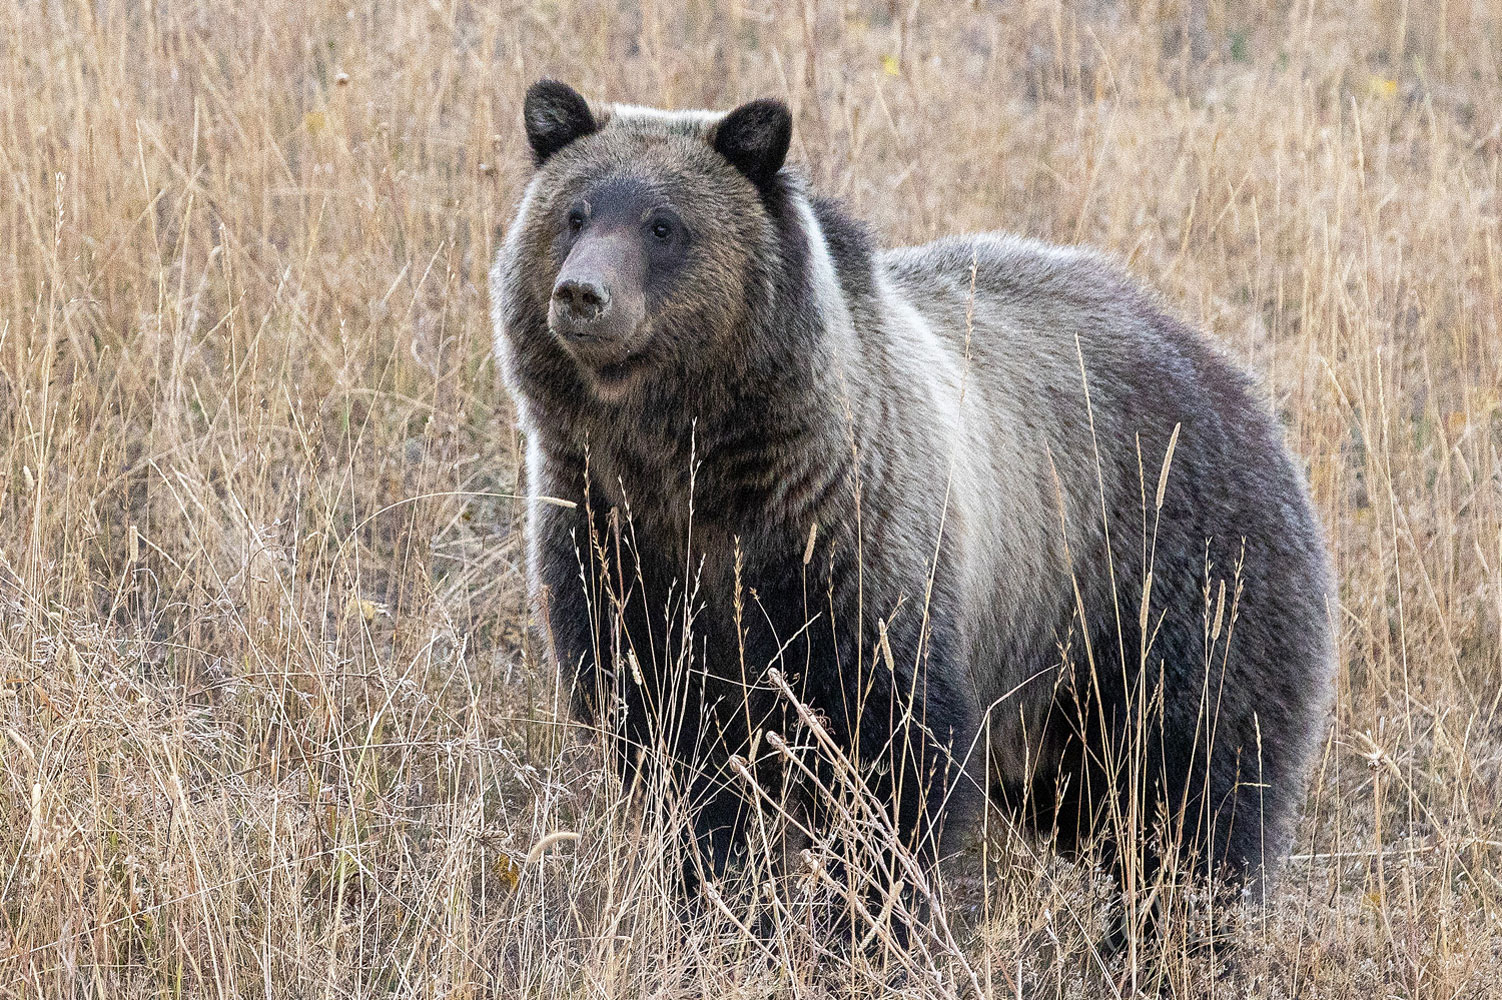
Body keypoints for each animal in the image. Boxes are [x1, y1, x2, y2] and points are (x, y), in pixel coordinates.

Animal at [492, 79, 1339, 942]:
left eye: (664, 224)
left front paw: (859, 923)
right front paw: (713, 901)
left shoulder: (851, 549)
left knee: (1195, 785)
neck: (699, 466)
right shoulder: (617, 542)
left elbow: (892, 762)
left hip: (1168, 574)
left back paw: (1176, 931)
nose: (583, 294)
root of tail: (1230, 370)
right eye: (575, 212)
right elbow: (677, 754)